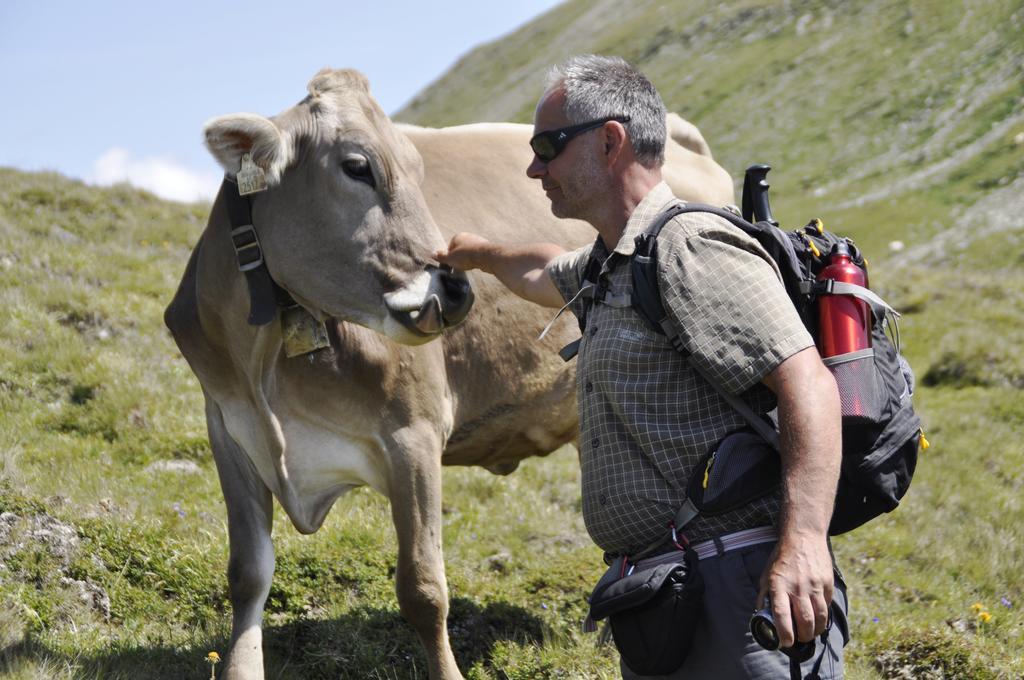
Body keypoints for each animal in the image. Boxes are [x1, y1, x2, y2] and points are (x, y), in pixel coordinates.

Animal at [163, 67, 733, 680]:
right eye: (357, 166)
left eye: (419, 170)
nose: (455, 290)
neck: (264, 363)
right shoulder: (228, 428)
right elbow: (247, 573)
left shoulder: (411, 433)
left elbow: (422, 588)